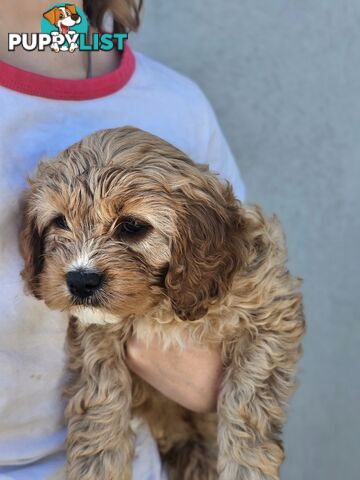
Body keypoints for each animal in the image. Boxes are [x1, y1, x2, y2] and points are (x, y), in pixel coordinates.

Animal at [19, 125, 306, 478]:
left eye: (132, 226)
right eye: (59, 221)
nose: (80, 280)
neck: (161, 307)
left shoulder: (270, 313)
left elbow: (247, 399)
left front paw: (247, 467)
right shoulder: (96, 332)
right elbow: (101, 398)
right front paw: (98, 467)